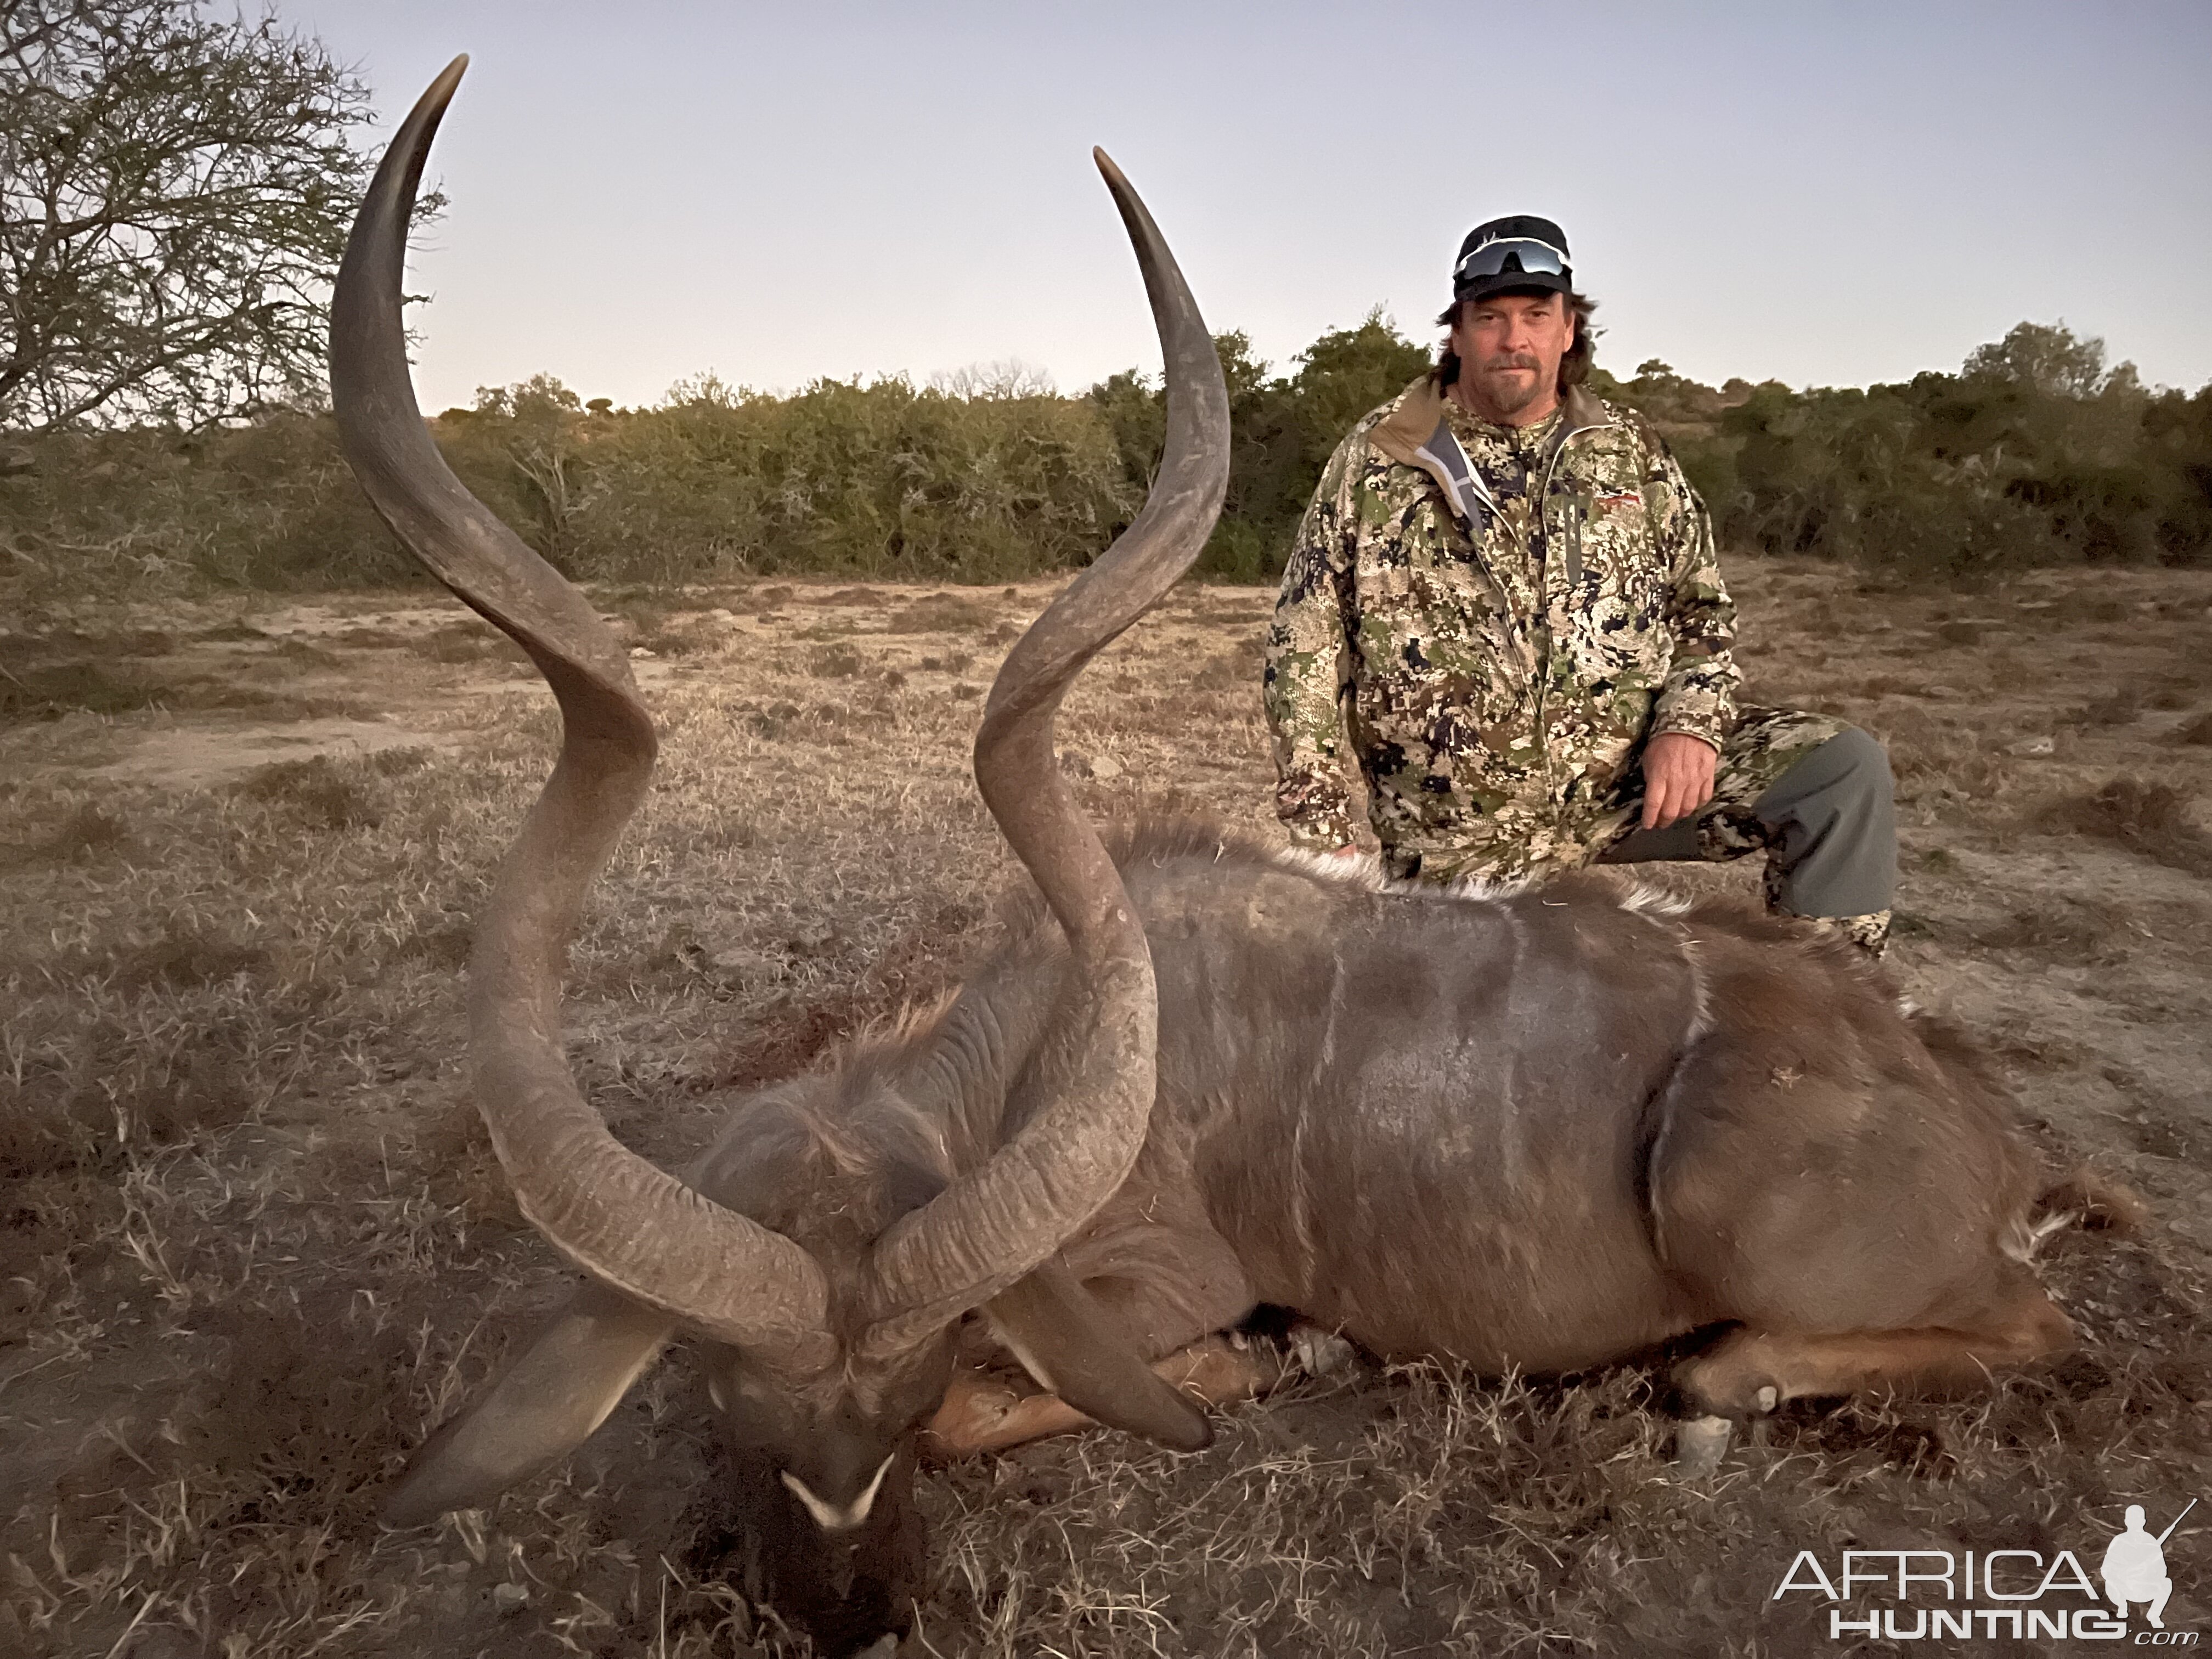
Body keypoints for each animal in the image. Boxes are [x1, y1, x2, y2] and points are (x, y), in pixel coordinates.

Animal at [340, 58, 2106, 1654]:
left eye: (898, 1404)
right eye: (735, 1408)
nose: (854, 1622)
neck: (1029, 1059)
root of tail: (1995, 1138)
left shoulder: (1145, 1286)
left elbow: (1062, 1388)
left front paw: (1285, 1355)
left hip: (1733, 1204)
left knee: (2032, 1329)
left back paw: (1716, 1390)